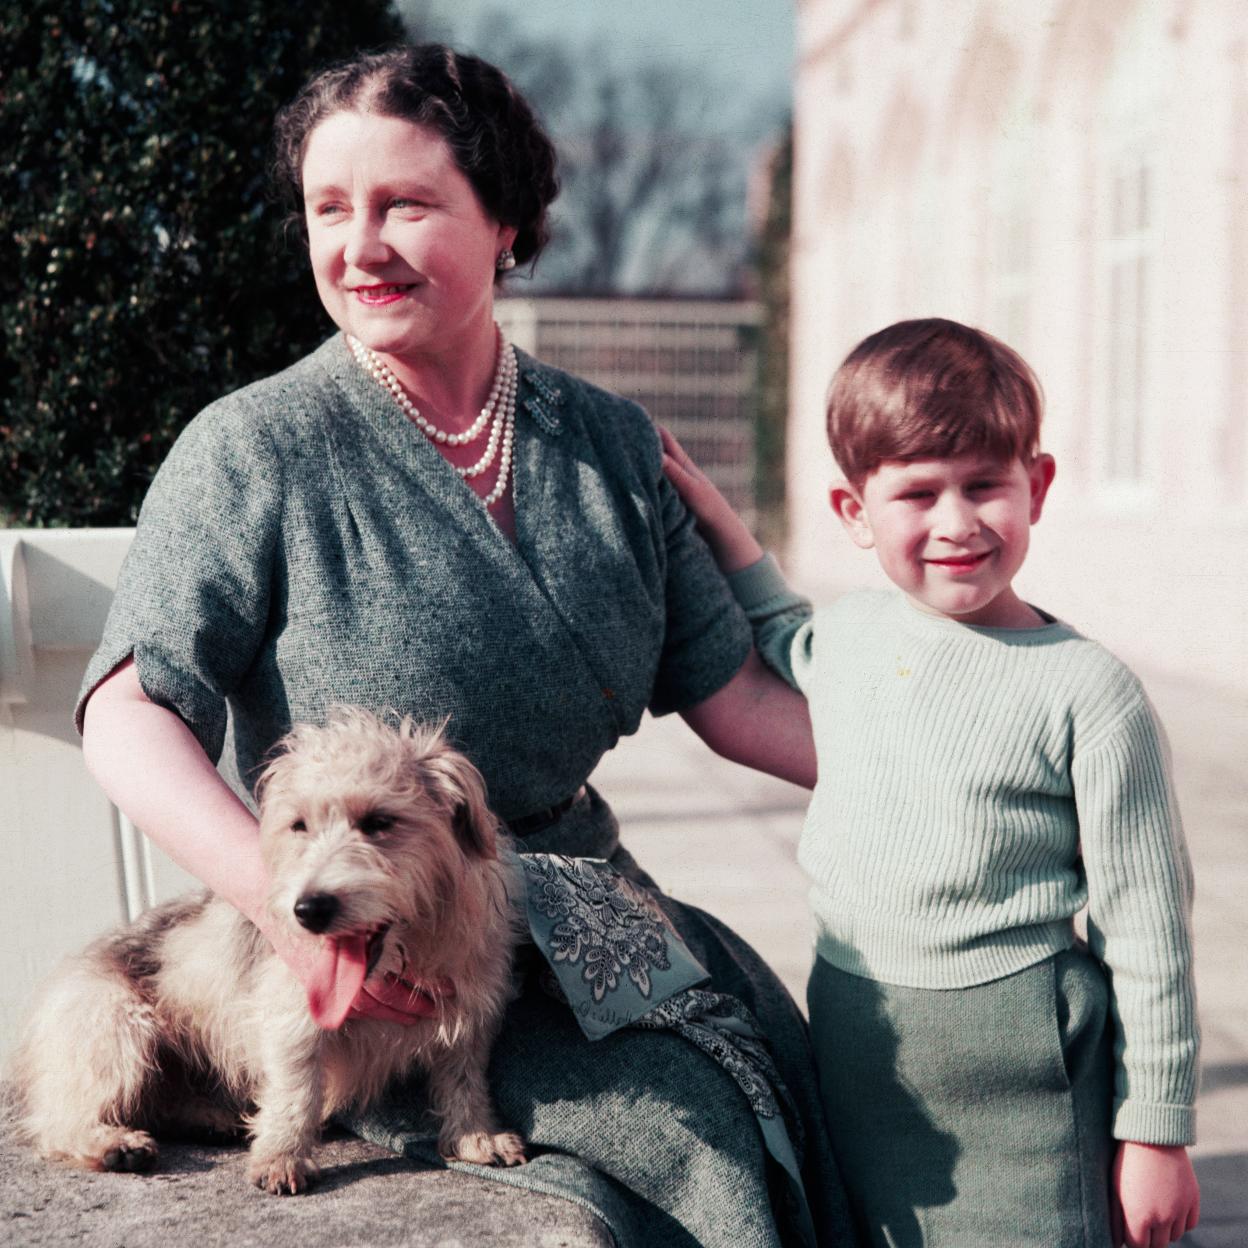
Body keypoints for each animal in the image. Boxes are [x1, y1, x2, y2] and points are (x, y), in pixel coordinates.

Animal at [10, 713, 526, 1188]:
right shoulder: (291, 1018)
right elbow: (295, 1089)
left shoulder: (470, 1014)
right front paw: (281, 1155)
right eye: (299, 826)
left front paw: (475, 1135)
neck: (410, 951)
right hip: (116, 1027)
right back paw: (111, 1143)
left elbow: (464, 1078)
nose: (309, 909)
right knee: (55, 1122)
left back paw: (209, 1119)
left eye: (379, 822)